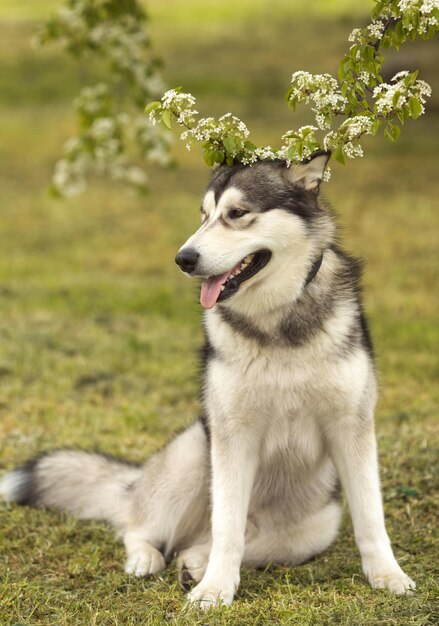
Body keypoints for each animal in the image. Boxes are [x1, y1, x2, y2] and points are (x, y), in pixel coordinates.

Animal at [0, 152, 416, 604]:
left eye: (236, 214)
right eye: (203, 215)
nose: (183, 258)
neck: (277, 322)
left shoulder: (352, 427)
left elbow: (371, 516)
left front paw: (387, 574)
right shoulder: (232, 434)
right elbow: (227, 528)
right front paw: (215, 591)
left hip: (313, 528)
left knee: (210, 543)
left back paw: (194, 563)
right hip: (193, 453)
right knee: (142, 527)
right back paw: (148, 558)